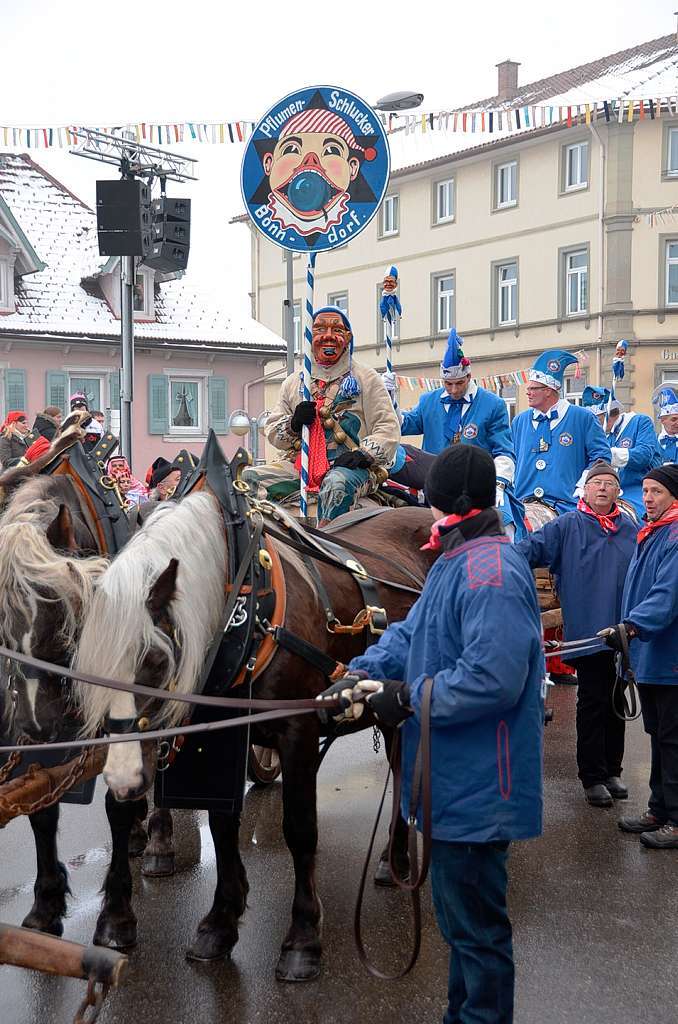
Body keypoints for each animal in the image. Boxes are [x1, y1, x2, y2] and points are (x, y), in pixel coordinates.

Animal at [74, 483, 436, 978]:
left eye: (156, 660)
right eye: (89, 666)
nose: (123, 778)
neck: (245, 607)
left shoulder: (297, 732)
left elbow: (300, 828)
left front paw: (303, 937)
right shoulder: (217, 732)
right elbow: (222, 824)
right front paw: (220, 922)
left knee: (405, 776)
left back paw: (397, 859)